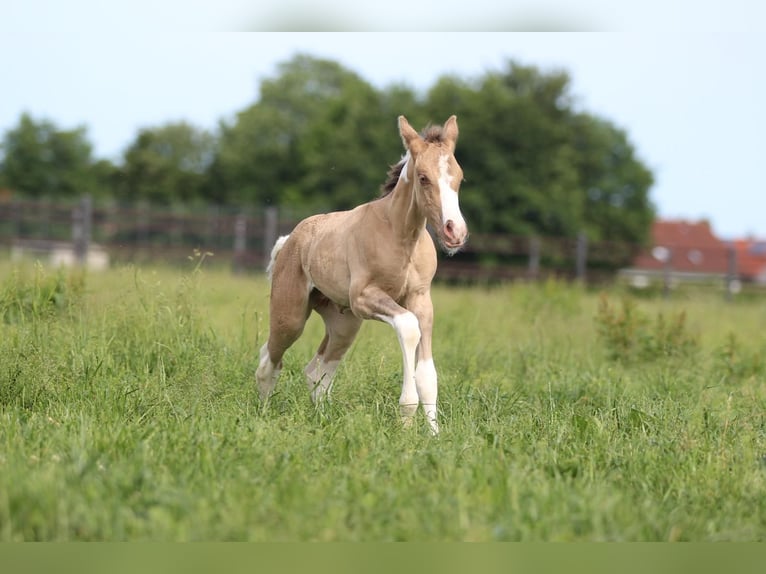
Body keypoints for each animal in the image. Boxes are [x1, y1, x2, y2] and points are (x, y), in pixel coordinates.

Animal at [255, 115, 468, 434]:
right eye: (423, 177)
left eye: (459, 177)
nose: (455, 231)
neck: (399, 234)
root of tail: (289, 240)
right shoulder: (365, 298)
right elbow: (408, 327)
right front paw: (406, 422)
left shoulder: (421, 300)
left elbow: (428, 375)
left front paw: (434, 434)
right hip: (290, 317)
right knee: (269, 361)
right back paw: (262, 414)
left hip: (344, 324)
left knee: (316, 372)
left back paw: (324, 420)